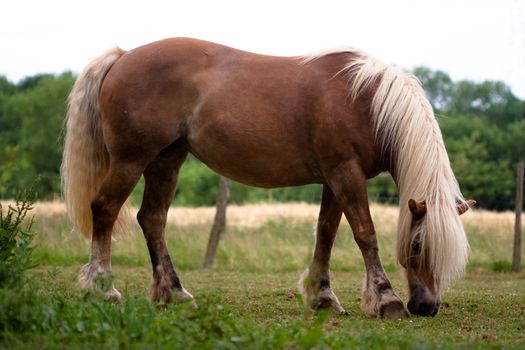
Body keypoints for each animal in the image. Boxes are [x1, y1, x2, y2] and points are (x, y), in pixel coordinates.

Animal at [61, 37, 474, 318]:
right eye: (418, 246)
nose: (427, 306)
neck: (364, 102)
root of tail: (123, 57)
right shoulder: (347, 174)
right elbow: (364, 234)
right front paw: (386, 299)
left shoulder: (333, 180)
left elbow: (326, 234)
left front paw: (321, 296)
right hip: (131, 160)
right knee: (105, 210)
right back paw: (102, 288)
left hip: (167, 160)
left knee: (152, 219)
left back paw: (173, 292)